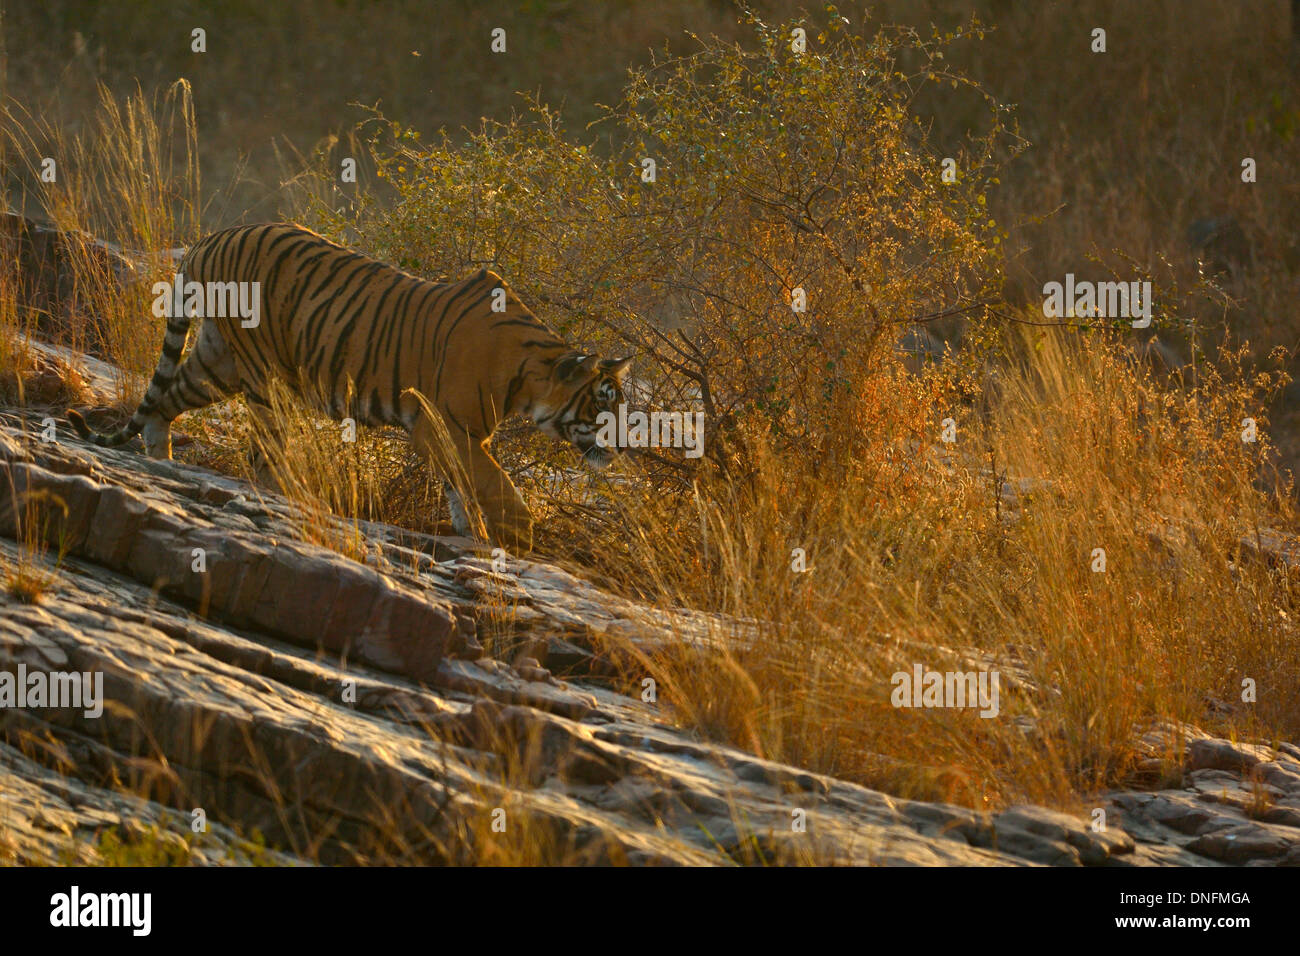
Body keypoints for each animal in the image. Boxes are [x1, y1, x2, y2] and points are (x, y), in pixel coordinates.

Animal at [66, 222, 632, 552]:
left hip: (217, 359)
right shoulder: (444, 425)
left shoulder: (458, 434)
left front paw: (471, 530)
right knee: (263, 450)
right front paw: (517, 532)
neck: (531, 375)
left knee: (166, 399)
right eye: (601, 406)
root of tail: (213, 237)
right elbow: (491, 481)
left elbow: (463, 484)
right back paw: (288, 494)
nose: (625, 447)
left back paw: (161, 460)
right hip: (261, 370)